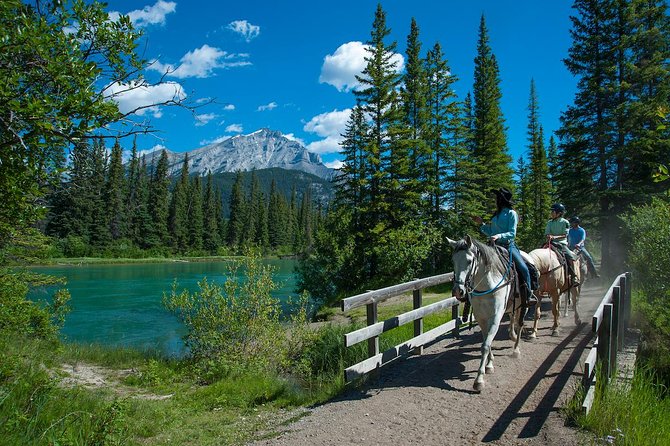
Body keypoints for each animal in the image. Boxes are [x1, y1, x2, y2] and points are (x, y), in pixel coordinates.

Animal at [448, 235, 528, 392]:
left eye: (469, 261)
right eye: (453, 260)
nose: (458, 291)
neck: (488, 285)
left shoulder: (495, 317)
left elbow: (485, 345)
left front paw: (479, 379)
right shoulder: (481, 317)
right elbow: (487, 341)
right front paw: (489, 365)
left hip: (526, 304)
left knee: (520, 323)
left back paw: (516, 350)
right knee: (513, 319)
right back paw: (512, 335)